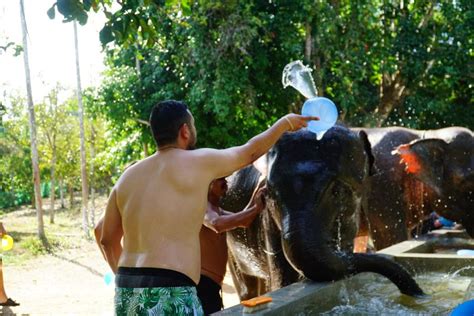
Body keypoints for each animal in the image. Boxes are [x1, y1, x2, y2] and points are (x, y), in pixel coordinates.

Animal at [220, 126, 424, 302]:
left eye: (340, 191)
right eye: (270, 193)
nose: (419, 293)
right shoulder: (268, 223)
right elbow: (282, 280)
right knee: (247, 287)